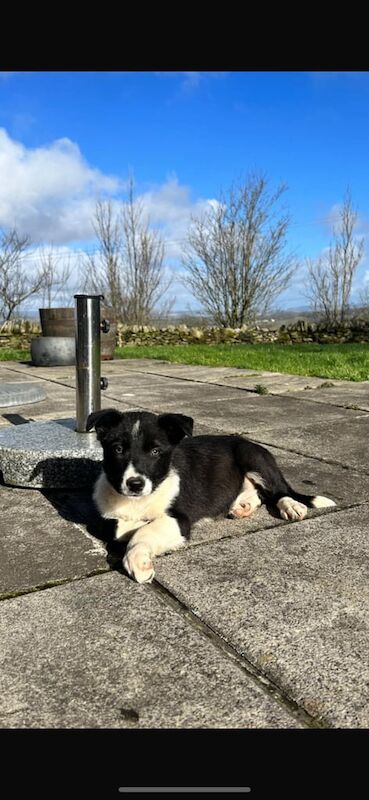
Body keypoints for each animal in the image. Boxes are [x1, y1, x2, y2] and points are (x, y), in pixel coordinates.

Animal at [87, 410, 334, 584]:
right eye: (118, 449)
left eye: (156, 452)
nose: (135, 484)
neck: (139, 501)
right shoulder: (107, 515)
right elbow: (116, 527)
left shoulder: (179, 519)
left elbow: (145, 531)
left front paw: (139, 561)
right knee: (259, 494)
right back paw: (243, 506)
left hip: (252, 457)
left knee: (278, 491)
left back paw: (291, 506)